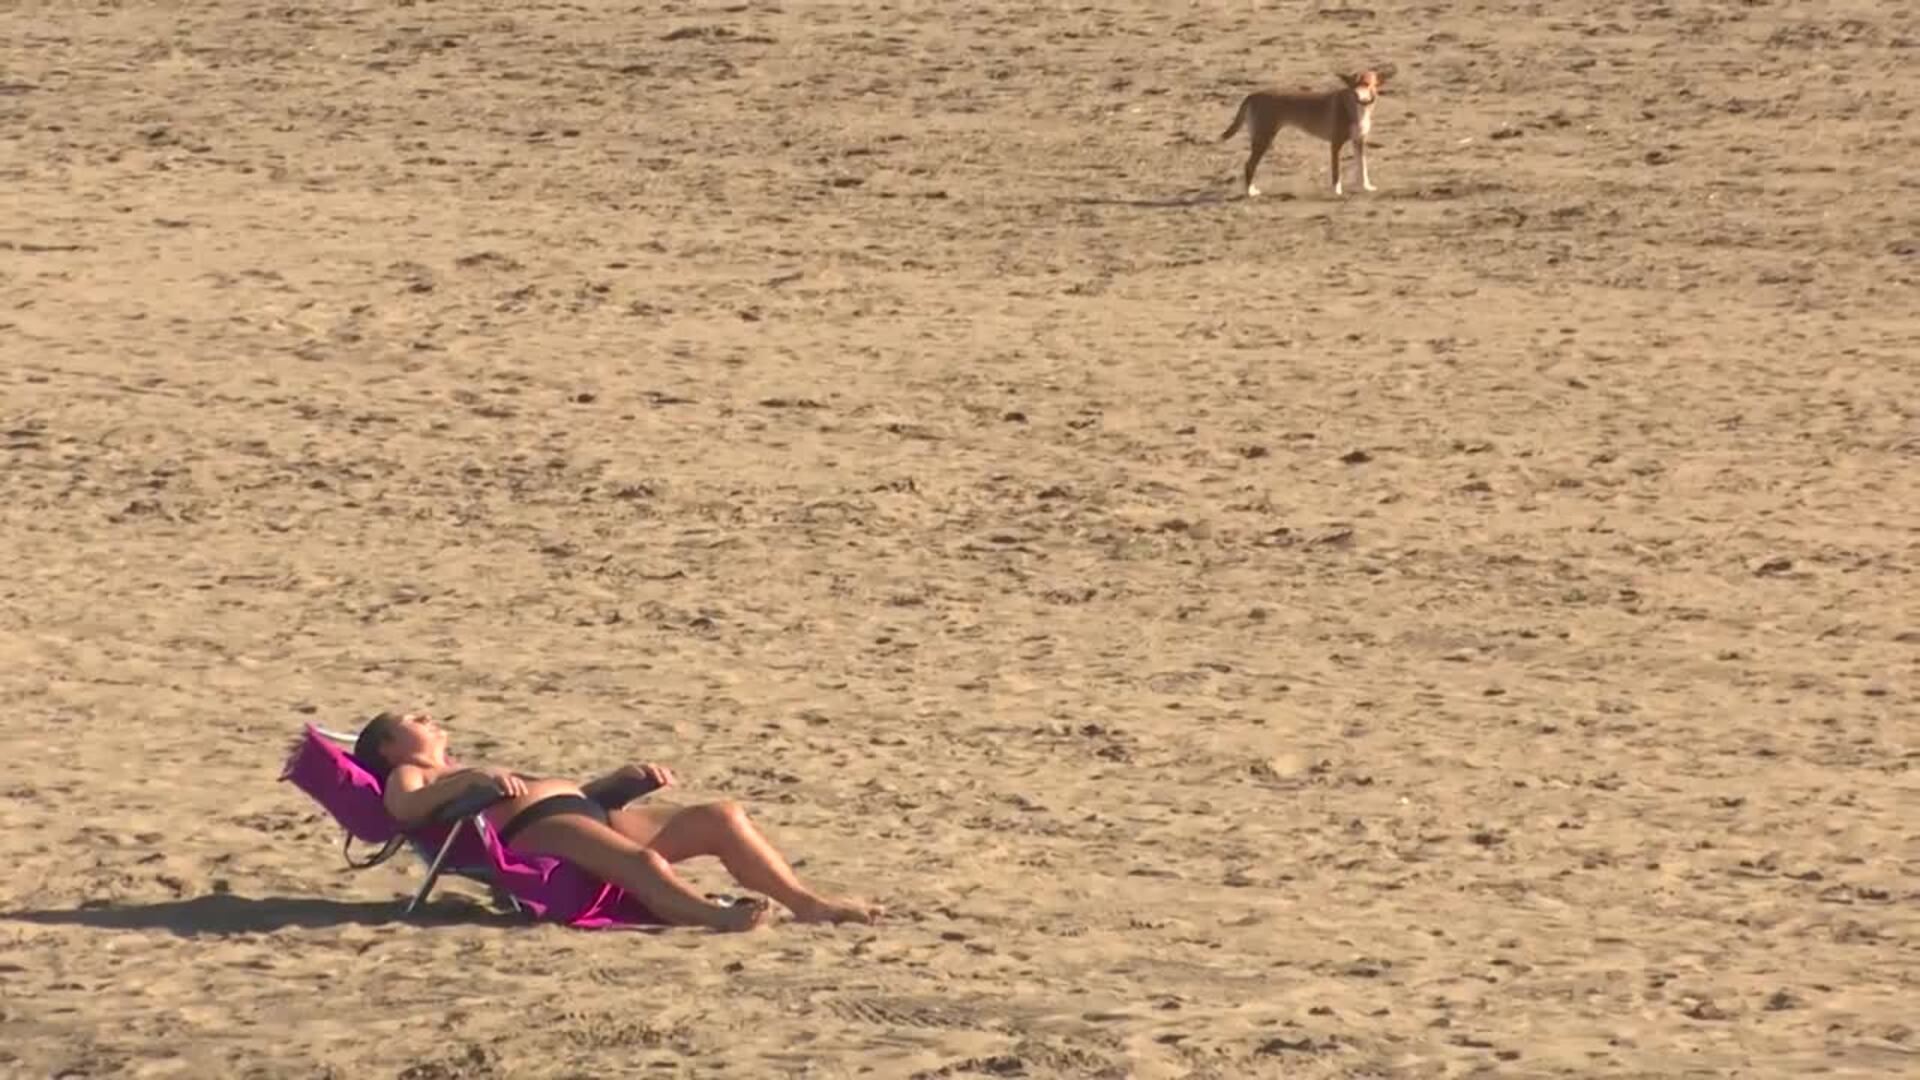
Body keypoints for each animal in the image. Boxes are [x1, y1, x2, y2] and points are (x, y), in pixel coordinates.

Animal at [1213, 69, 1382, 197]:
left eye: (1366, 83)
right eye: (1352, 85)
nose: (1356, 94)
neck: (1356, 107)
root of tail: (1253, 95)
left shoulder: (1359, 141)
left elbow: (1362, 168)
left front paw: (1366, 187)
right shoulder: (1335, 144)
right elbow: (1337, 173)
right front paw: (1337, 192)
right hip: (1264, 139)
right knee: (1249, 166)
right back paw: (1250, 192)